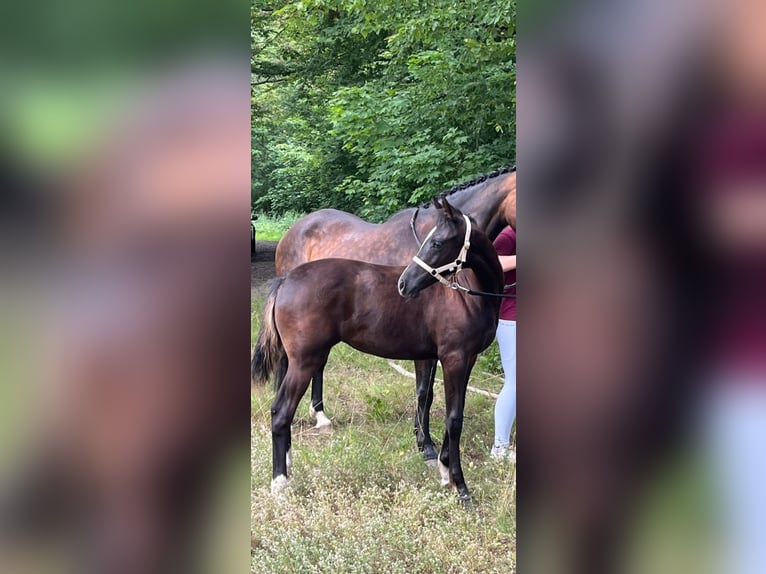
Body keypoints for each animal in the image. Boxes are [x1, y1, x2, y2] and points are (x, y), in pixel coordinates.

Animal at [252, 198, 504, 504]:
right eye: (429, 240)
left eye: (436, 242)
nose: (404, 284)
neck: (467, 293)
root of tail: (286, 280)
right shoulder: (454, 358)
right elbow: (453, 419)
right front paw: (461, 488)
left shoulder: (464, 360)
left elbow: (447, 411)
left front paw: (444, 470)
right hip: (304, 361)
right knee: (280, 411)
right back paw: (280, 483)